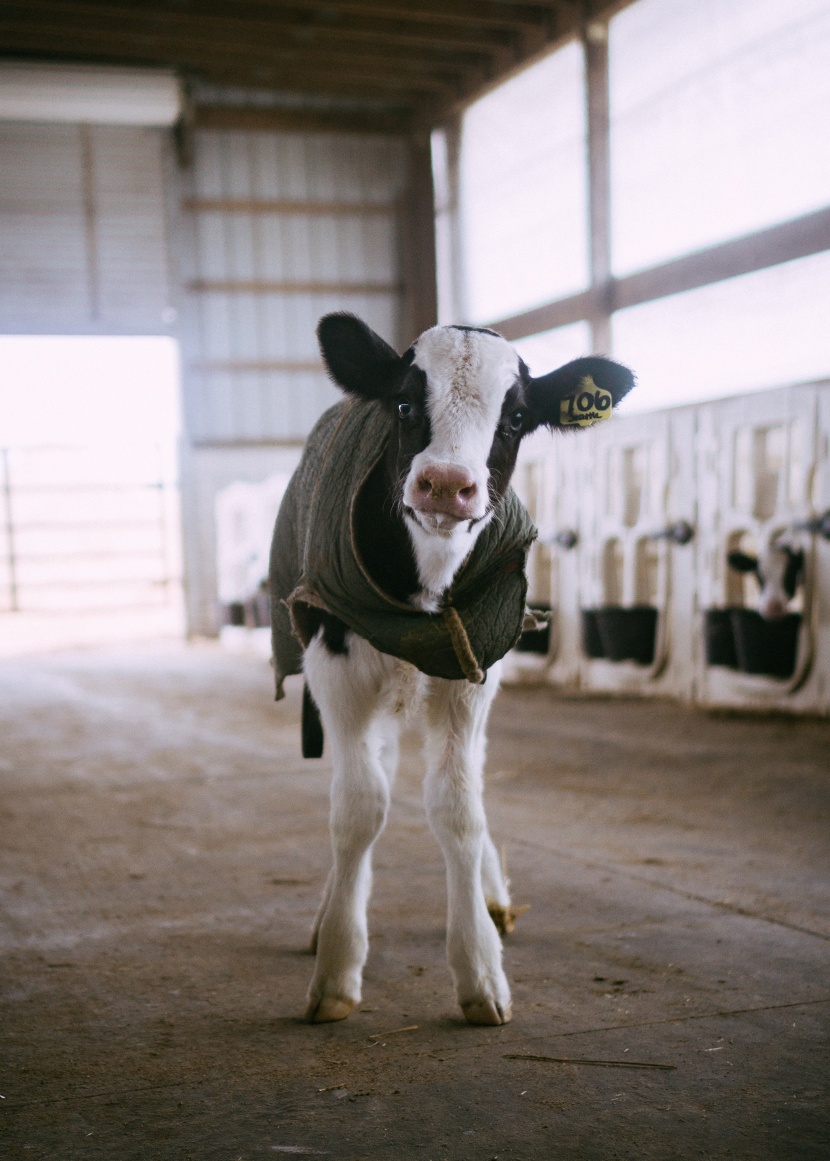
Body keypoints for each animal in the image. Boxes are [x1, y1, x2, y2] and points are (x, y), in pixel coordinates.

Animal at [273, 315, 636, 1026]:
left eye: (516, 418)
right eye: (404, 404)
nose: (445, 483)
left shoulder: (476, 666)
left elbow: (458, 805)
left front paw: (480, 971)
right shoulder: (335, 661)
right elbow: (357, 807)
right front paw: (336, 970)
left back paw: (493, 897)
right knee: (373, 773)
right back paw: (330, 913)